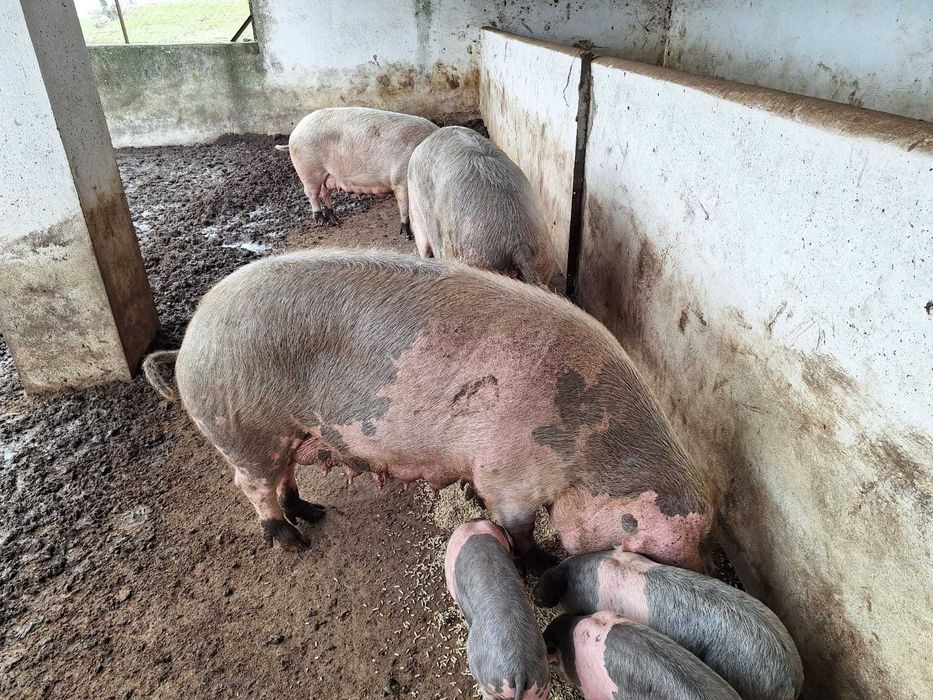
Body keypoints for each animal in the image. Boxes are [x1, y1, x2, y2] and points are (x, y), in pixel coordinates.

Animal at [142, 249, 718, 573]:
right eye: (646, 551)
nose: (704, 569)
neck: (586, 446)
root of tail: (191, 340)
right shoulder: (509, 469)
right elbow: (518, 526)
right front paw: (540, 563)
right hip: (244, 428)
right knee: (254, 486)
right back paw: (295, 542)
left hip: (283, 433)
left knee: (284, 476)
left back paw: (314, 512)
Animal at [275, 107, 437, 236]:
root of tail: (295, 132)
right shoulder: (400, 180)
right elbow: (405, 206)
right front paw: (407, 234)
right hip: (308, 170)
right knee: (312, 194)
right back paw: (321, 220)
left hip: (327, 175)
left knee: (325, 193)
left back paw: (335, 221)